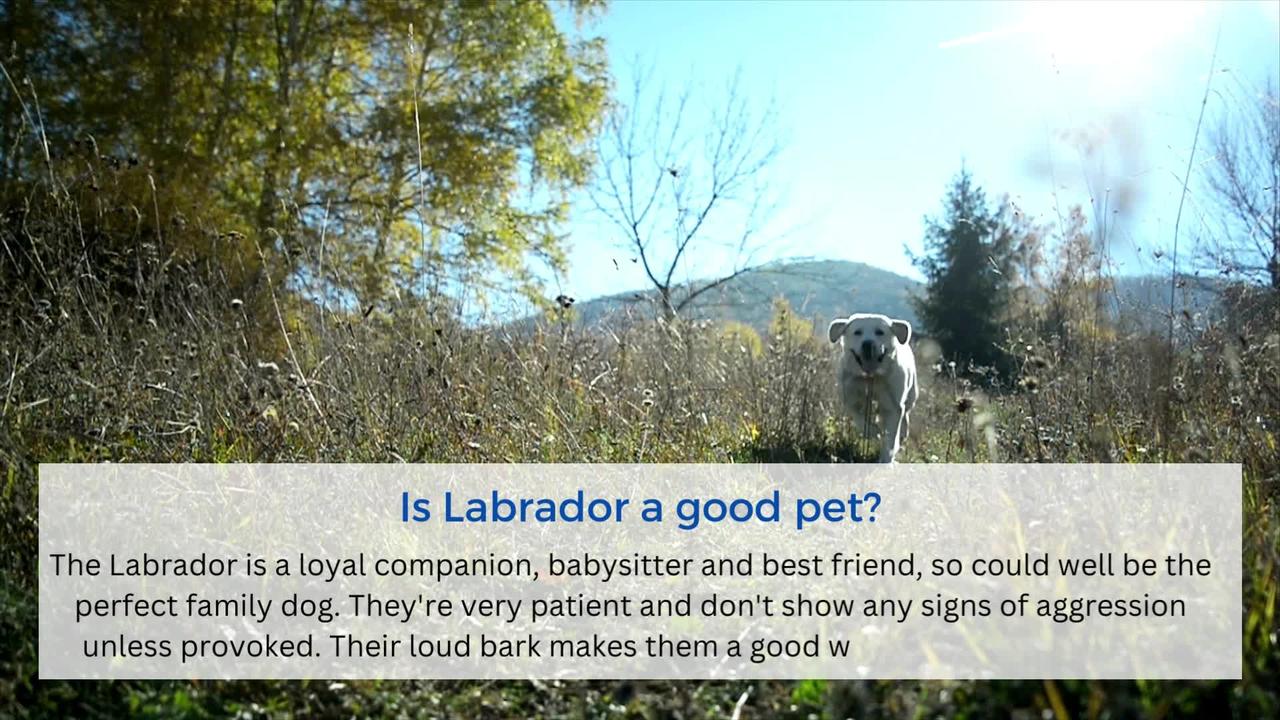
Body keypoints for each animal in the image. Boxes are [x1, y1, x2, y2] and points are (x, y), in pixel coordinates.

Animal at [829, 312, 921, 458]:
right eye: (857, 332)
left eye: (879, 332)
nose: (868, 344)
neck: (871, 378)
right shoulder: (849, 398)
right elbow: (858, 417)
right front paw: (873, 431)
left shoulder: (892, 405)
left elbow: (890, 437)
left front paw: (887, 457)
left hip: (911, 395)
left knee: (906, 413)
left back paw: (903, 433)